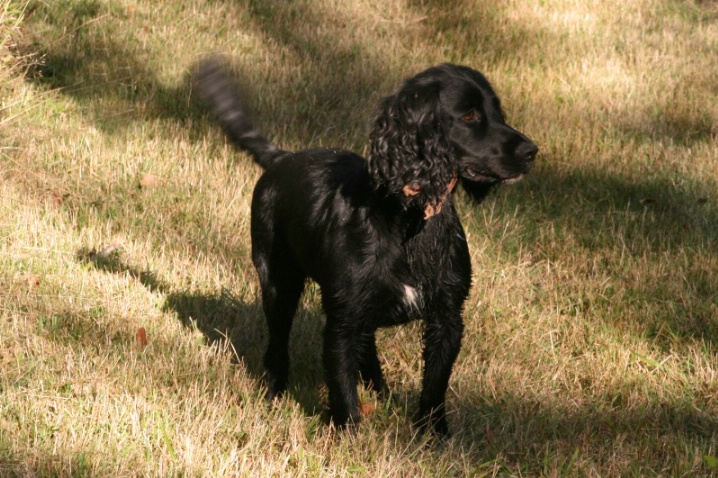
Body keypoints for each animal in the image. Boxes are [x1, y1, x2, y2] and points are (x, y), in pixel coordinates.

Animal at [194, 61, 536, 436]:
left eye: (498, 111)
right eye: (470, 115)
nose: (531, 151)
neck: (409, 220)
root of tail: (282, 158)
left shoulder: (447, 316)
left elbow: (434, 385)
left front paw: (435, 436)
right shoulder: (342, 318)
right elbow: (342, 385)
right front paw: (348, 435)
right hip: (277, 280)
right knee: (278, 343)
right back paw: (274, 392)